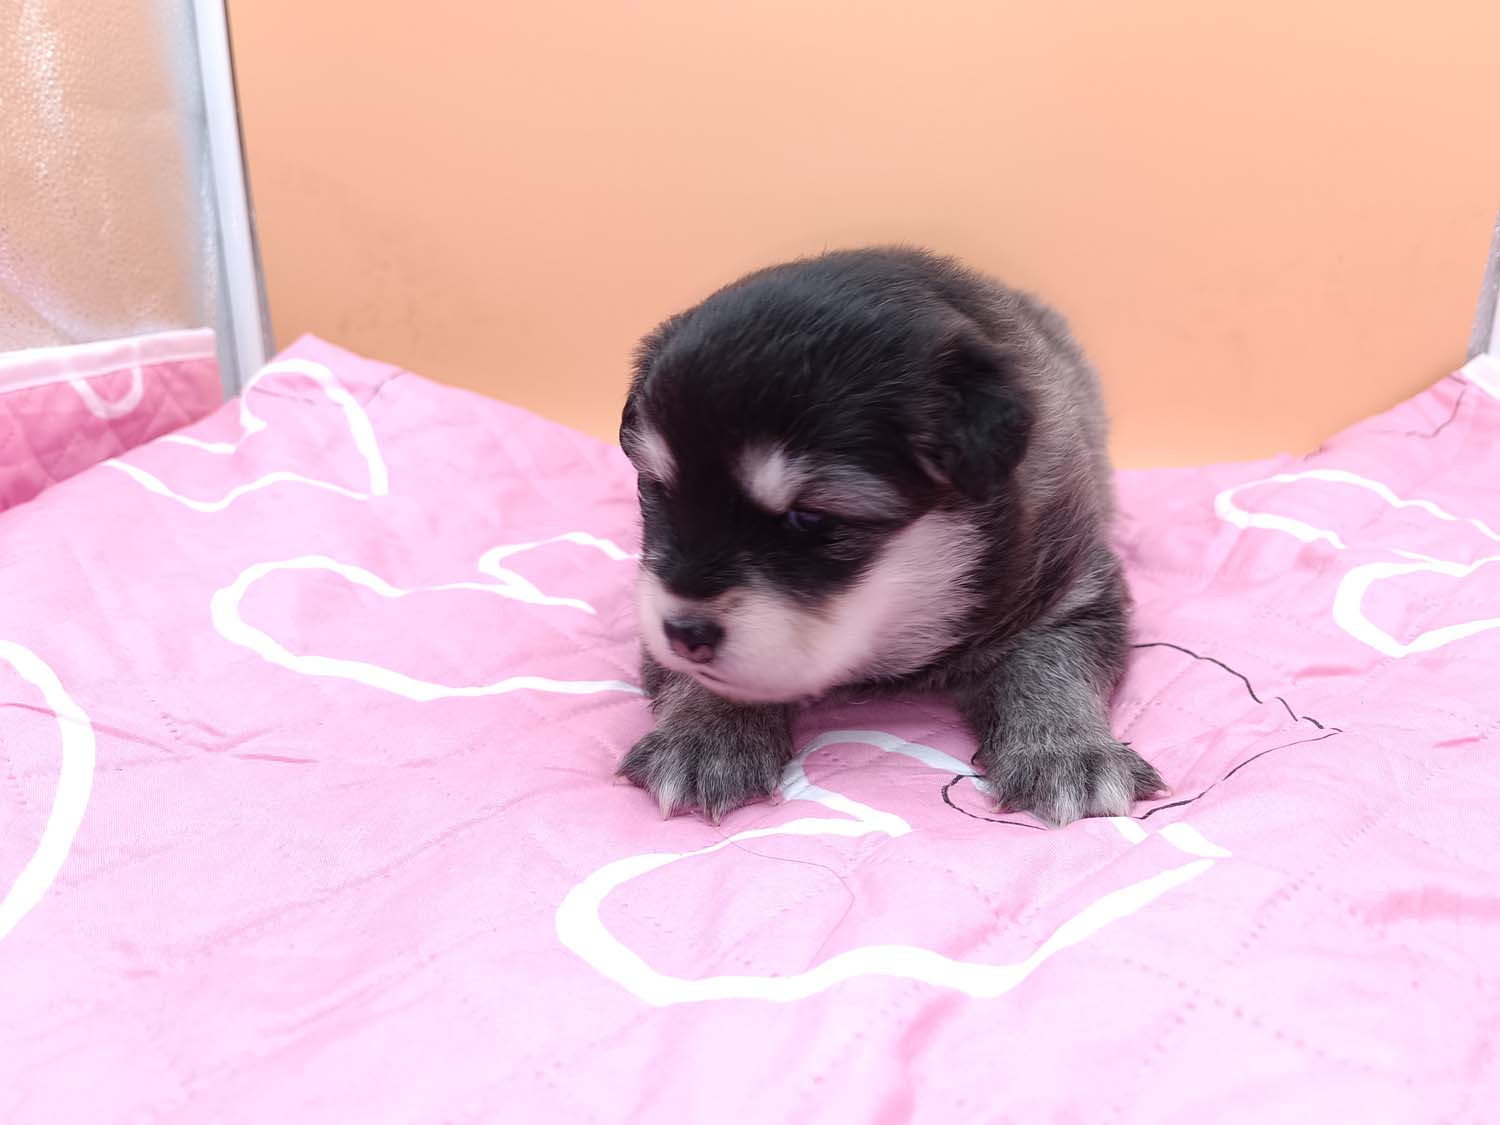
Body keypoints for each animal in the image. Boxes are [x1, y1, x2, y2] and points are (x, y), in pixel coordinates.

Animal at [617, 247, 1164, 827]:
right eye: (658, 488)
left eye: (809, 518)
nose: (684, 631)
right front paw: (704, 738)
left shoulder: (1072, 590)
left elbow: (1047, 667)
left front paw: (1067, 751)